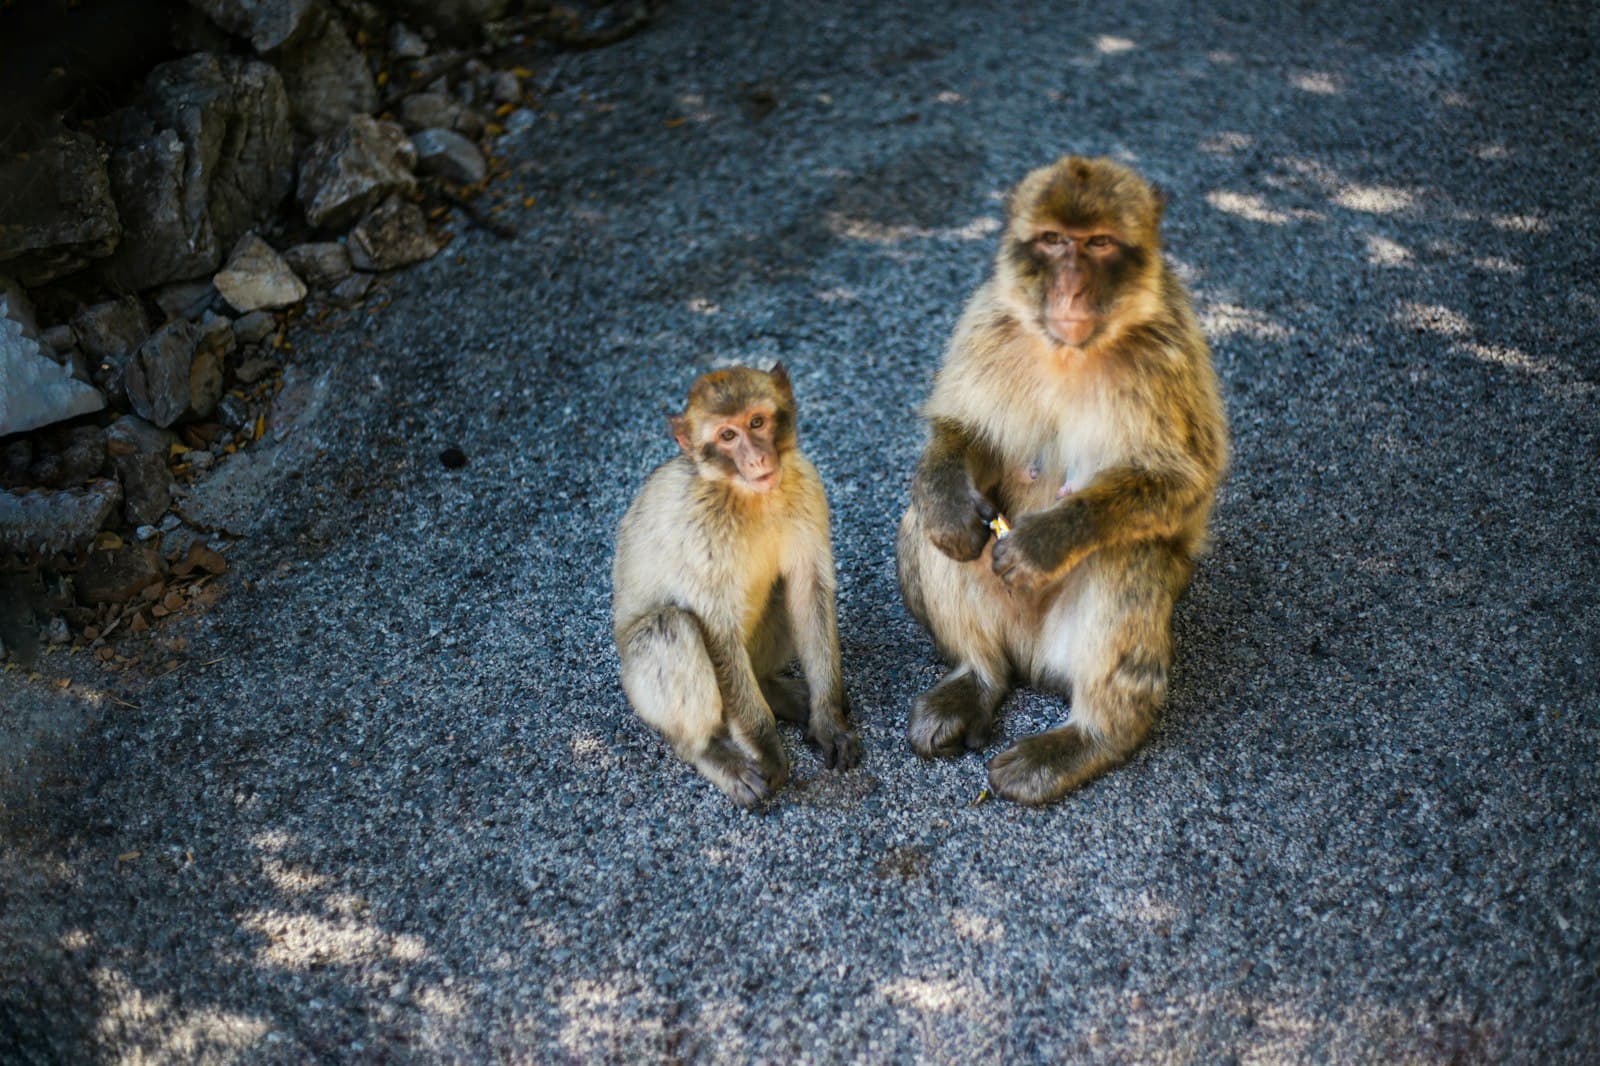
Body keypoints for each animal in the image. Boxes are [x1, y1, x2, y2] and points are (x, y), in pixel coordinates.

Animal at [612, 364, 861, 807]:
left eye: (757, 422)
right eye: (728, 436)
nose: (757, 457)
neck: (748, 495)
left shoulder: (807, 485)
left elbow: (808, 589)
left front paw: (828, 719)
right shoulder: (700, 530)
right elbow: (716, 629)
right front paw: (767, 748)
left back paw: (775, 690)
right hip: (640, 689)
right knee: (670, 626)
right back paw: (709, 751)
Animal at [896, 155, 1228, 805]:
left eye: (1098, 243)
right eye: (1052, 240)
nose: (1071, 286)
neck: (1070, 352)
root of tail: (1029, 660)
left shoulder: (1170, 350)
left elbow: (1183, 483)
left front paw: (1042, 544)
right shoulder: (986, 322)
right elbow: (963, 435)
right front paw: (950, 509)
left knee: (1130, 555)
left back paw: (1091, 737)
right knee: (926, 524)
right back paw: (975, 677)